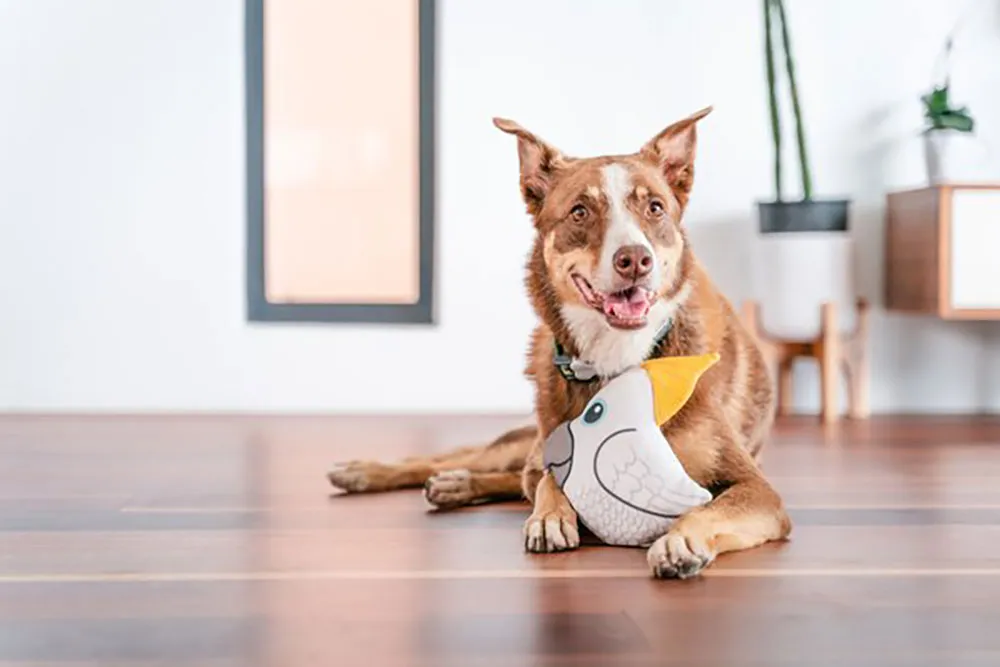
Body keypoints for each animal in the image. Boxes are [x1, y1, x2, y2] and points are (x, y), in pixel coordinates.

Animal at [332, 108, 792, 580]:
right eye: (579, 212)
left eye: (655, 207)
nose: (634, 260)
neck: (616, 356)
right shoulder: (548, 447)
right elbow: (548, 480)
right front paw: (551, 515)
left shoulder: (759, 489)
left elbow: (710, 508)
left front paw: (681, 540)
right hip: (518, 441)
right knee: (466, 459)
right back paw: (368, 473)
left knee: (499, 473)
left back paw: (457, 486)